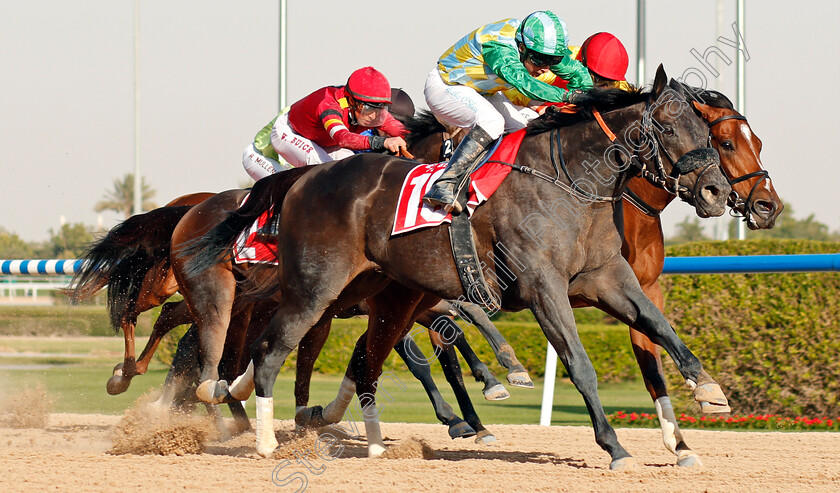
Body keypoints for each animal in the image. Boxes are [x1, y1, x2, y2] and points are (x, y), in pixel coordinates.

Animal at [182, 66, 728, 466]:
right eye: (667, 127)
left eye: (708, 130)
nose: (716, 191)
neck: (569, 181)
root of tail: (304, 177)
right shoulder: (543, 286)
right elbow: (579, 363)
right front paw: (613, 446)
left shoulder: (606, 277)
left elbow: (659, 326)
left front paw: (709, 391)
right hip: (316, 288)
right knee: (270, 348)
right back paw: (263, 440)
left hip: (365, 293)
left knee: (330, 354)